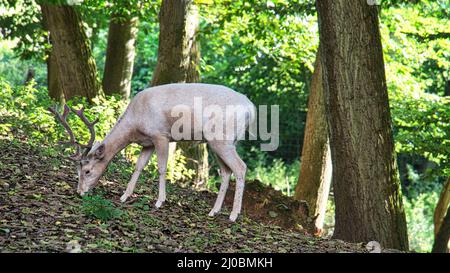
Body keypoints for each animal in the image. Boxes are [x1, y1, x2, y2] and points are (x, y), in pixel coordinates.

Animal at [49, 83, 256, 221]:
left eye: (87, 171)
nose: (80, 192)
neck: (135, 124)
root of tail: (251, 109)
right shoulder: (147, 143)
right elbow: (138, 166)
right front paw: (124, 196)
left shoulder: (161, 135)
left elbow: (162, 168)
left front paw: (160, 201)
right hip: (218, 143)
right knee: (226, 171)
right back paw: (213, 211)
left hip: (222, 139)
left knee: (240, 167)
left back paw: (233, 215)